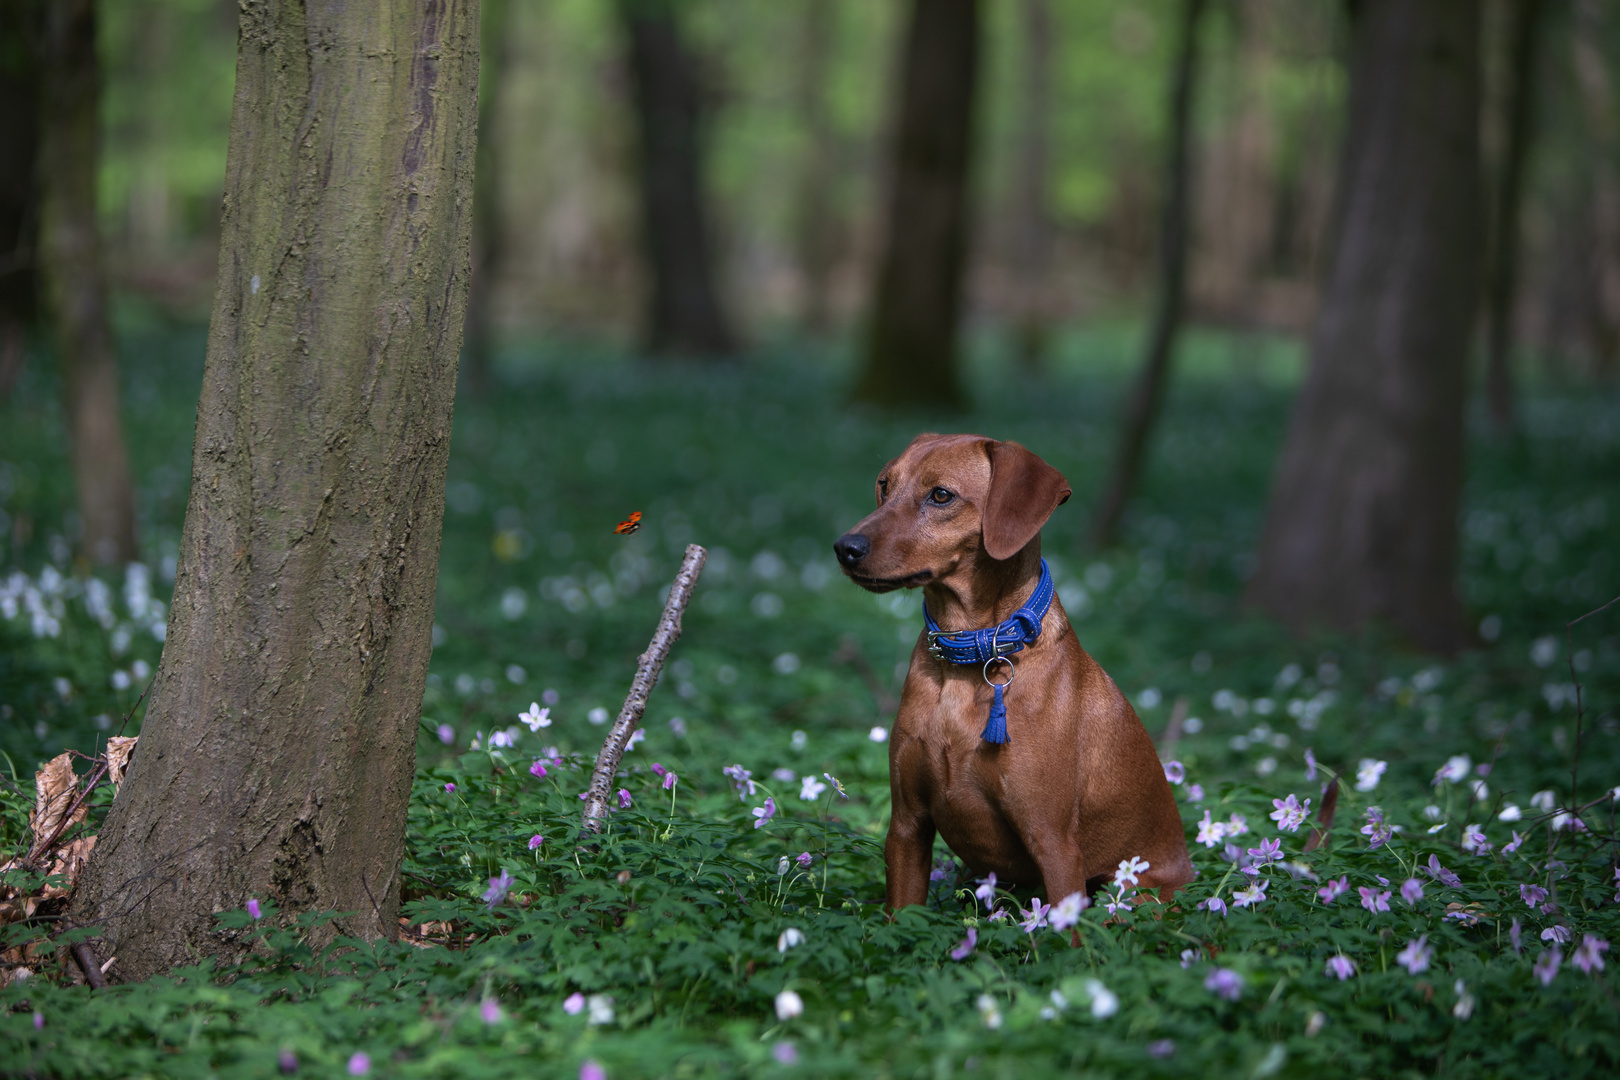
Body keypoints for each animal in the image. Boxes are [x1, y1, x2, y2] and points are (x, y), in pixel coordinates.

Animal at [835, 433, 1192, 906]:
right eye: (884, 485)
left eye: (941, 495)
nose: (845, 547)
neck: (970, 655)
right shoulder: (907, 827)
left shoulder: (1054, 843)